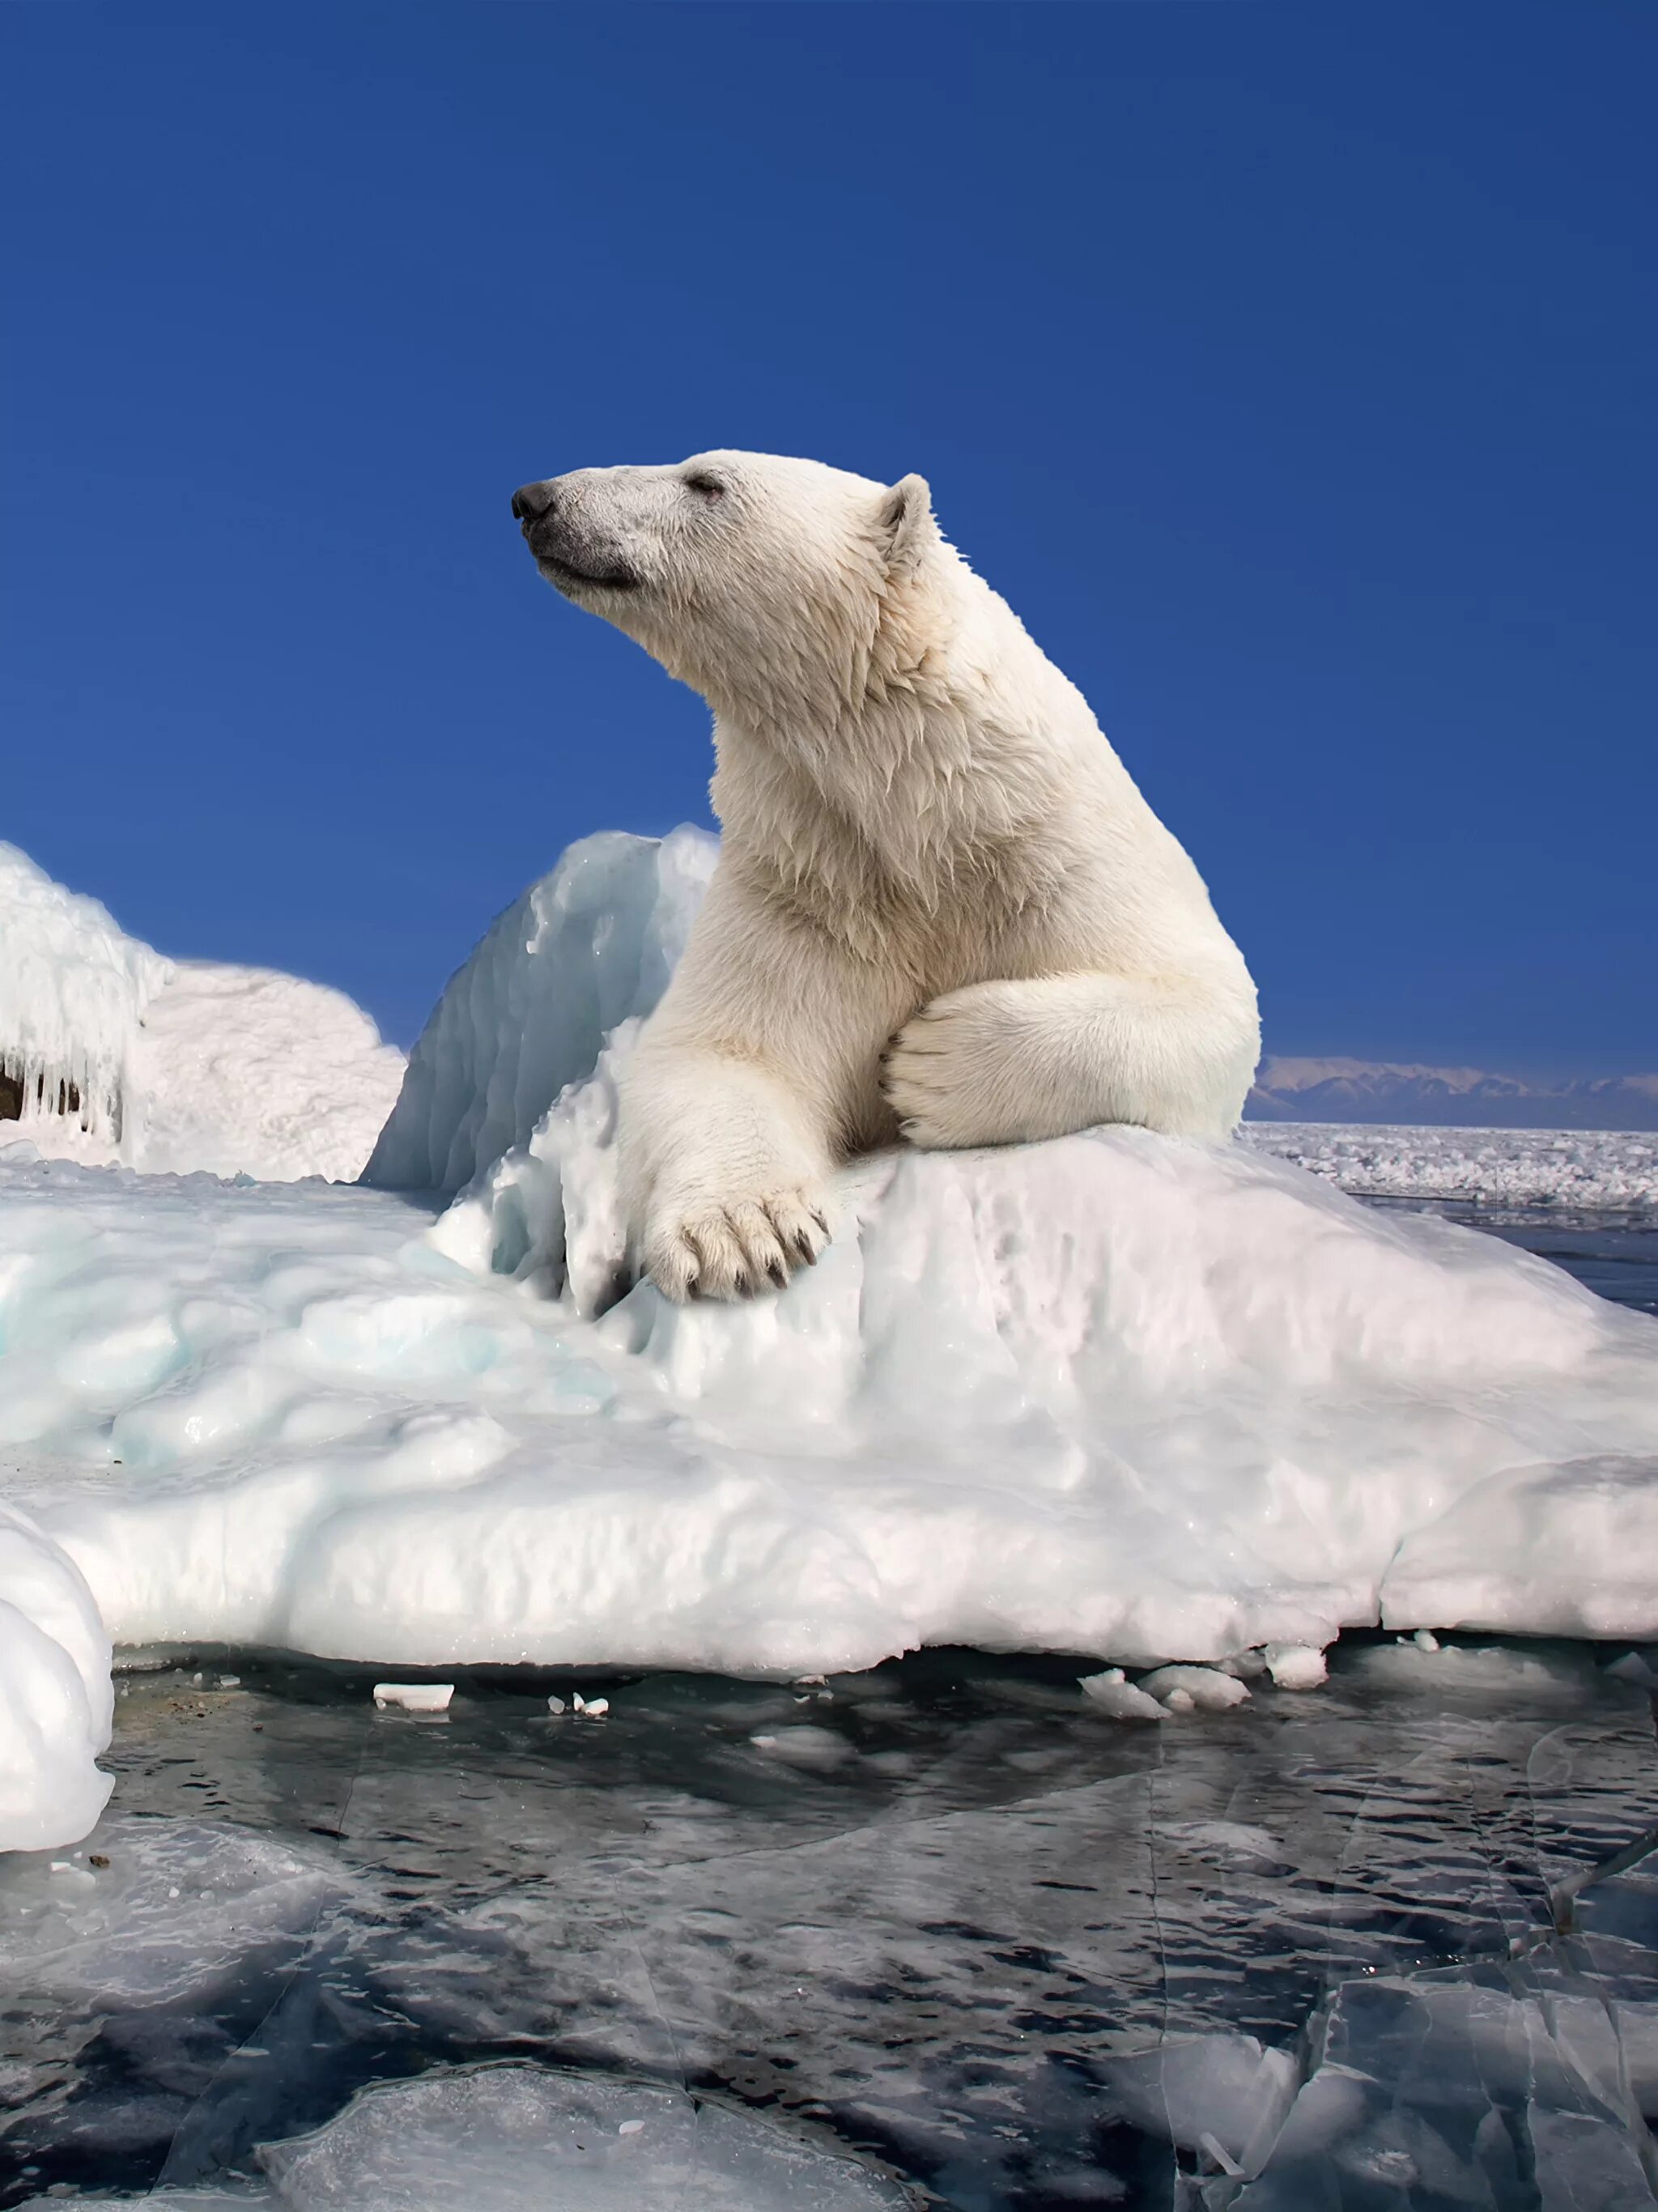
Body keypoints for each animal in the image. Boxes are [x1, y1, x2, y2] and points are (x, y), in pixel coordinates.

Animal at [510, 457, 1256, 1300]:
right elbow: (724, 1051)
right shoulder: (809, 885)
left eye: (705, 481)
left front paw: (932, 1063)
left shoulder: (1064, 859)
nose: (536, 500)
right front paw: (743, 1233)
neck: (930, 825)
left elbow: (1206, 1002)